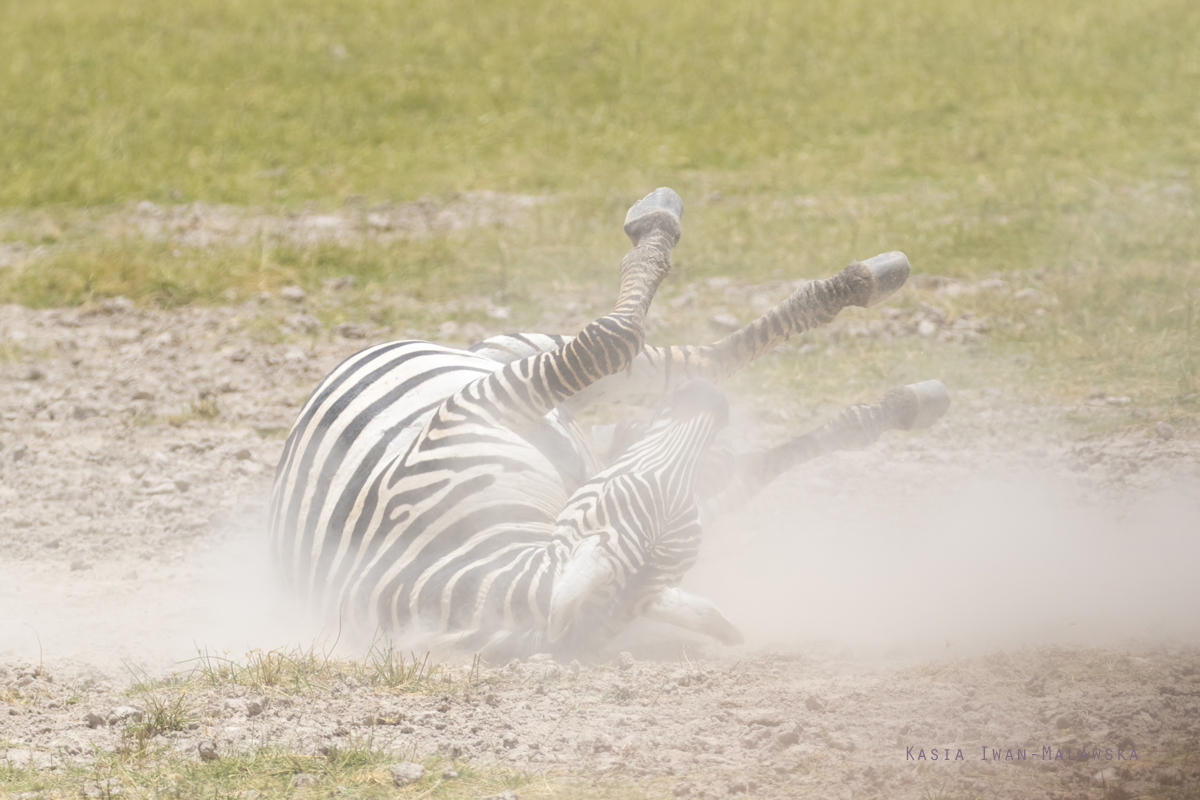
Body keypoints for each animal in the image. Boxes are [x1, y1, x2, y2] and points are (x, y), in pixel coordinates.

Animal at [270, 185, 945, 657]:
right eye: (612, 496)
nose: (714, 408)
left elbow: (623, 349)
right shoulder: (470, 411)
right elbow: (613, 341)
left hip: (515, 365)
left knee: (681, 364)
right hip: (512, 375)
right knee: (675, 363)